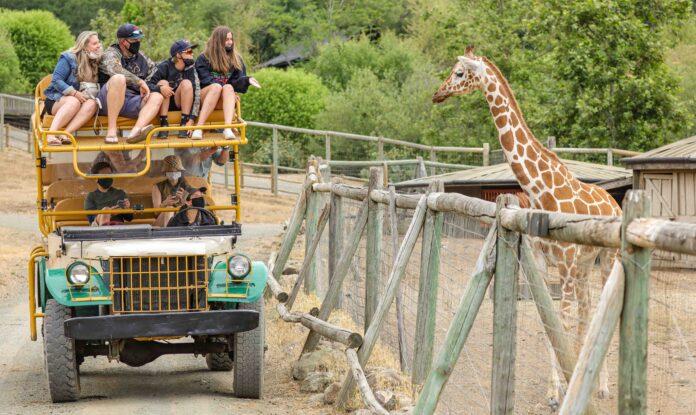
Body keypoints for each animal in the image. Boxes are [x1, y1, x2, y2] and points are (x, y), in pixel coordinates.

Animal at [432, 45, 624, 406]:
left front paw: (564, 389)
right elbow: (547, 321)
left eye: (459, 72)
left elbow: (561, 322)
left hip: (606, 260)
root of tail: (617, 204)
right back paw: (584, 374)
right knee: (586, 310)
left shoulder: (565, 265)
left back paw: (603, 385)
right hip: (584, 266)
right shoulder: (542, 261)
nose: (438, 93)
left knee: (595, 310)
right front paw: (553, 390)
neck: (540, 191)